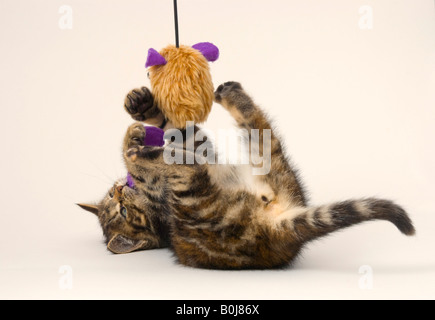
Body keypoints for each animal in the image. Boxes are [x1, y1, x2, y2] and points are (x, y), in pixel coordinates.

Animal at [80, 81, 418, 268]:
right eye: (123, 212)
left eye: (113, 198)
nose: (119, 190)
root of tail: (275, 233)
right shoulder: (159, 194)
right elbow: (150, 163)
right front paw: (131, 143)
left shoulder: (201, 149)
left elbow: (181, 129)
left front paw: (142, 107)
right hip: (194, 195)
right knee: (189, 168)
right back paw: (143, 151)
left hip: (276, 169)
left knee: (260, 130)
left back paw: (231, 95)